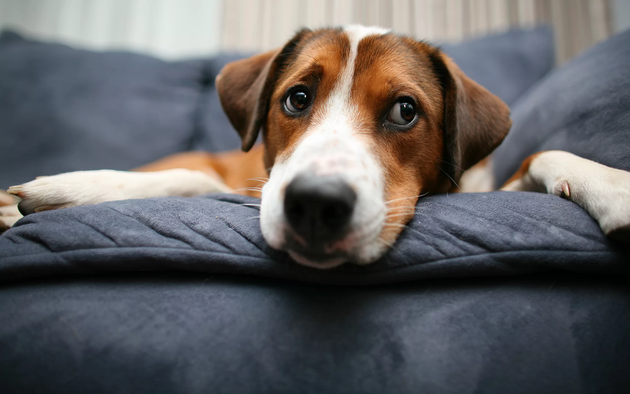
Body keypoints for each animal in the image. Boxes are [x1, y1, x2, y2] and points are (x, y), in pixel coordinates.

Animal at [1, 26, 630, 270]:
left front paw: (613, 186)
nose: (316, 204)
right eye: (297, 98)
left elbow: (541, 156)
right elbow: (193, 181)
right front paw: (72, 188)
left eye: (406, 111)